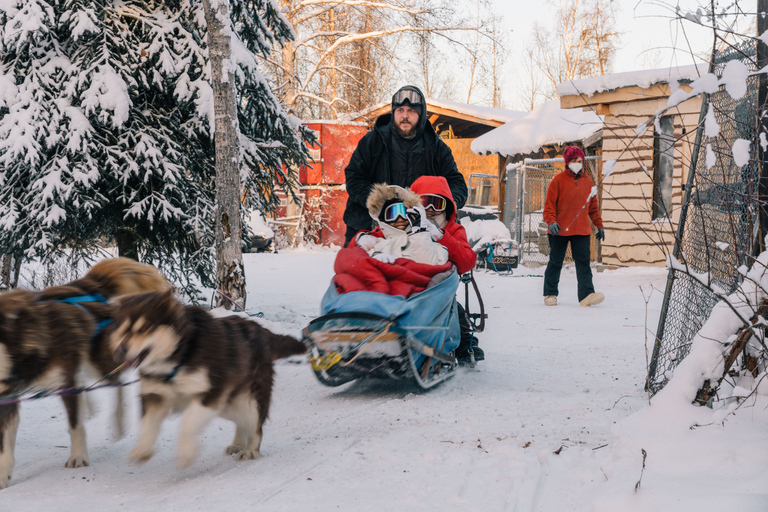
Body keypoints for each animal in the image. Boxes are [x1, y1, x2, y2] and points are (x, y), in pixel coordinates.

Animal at [0, 258, 171, 490]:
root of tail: (87, 284)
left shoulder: (65, 383)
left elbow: (75, 425)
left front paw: (78, 456)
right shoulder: (7, 397)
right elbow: (5, 443)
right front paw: (3, 475)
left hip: (96, 361)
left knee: (114, 380)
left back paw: (118, 421)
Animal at [109, 290, 308, 466]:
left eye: (144, 328)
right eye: (123, 330)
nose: (121, 349)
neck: (180, 354)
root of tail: (261, 329)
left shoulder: (211, 394)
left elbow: (188, 424)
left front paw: (187, 452)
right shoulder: (155, 395)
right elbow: (147, 425)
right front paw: (142, 449)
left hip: (248, 401)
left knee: (256, 427)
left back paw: (250, 449)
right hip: (228, 405)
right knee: (241, 422)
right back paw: (238, 443)